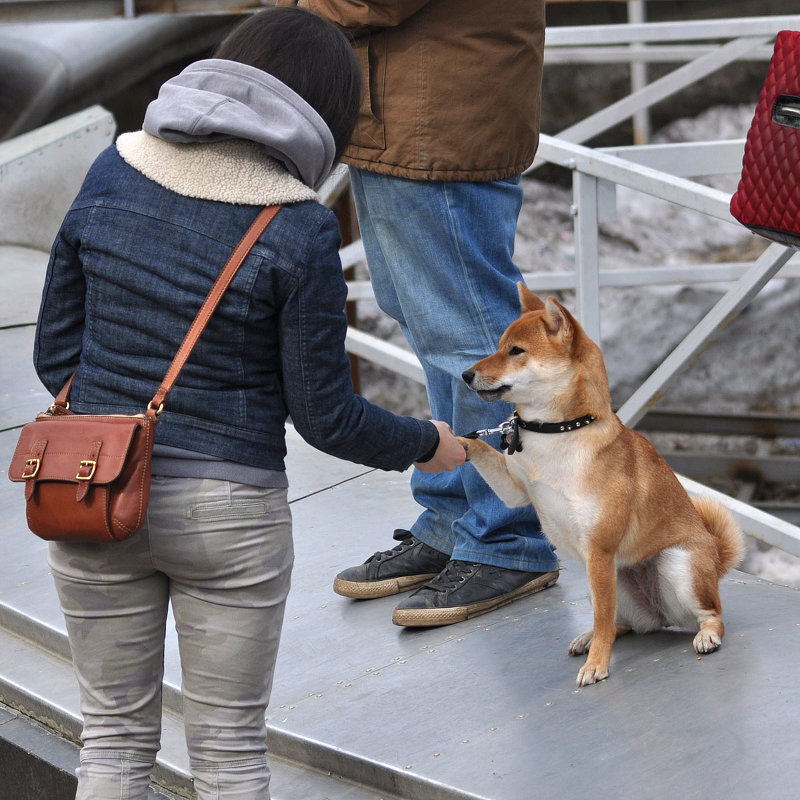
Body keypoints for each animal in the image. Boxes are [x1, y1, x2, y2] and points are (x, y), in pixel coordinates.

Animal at [460, 284, 748, 684]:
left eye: (515, 351)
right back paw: (590, 637)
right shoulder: (515, 491)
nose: (465, 374)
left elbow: (602, 620)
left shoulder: (599, 548)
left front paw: (597, 665)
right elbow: (481, 451)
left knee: (711, 614)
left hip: (676, 565)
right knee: (618, 622)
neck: (557, 432)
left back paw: (706, 635)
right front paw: (450, 437)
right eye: (499, 346)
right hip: (612, 579)